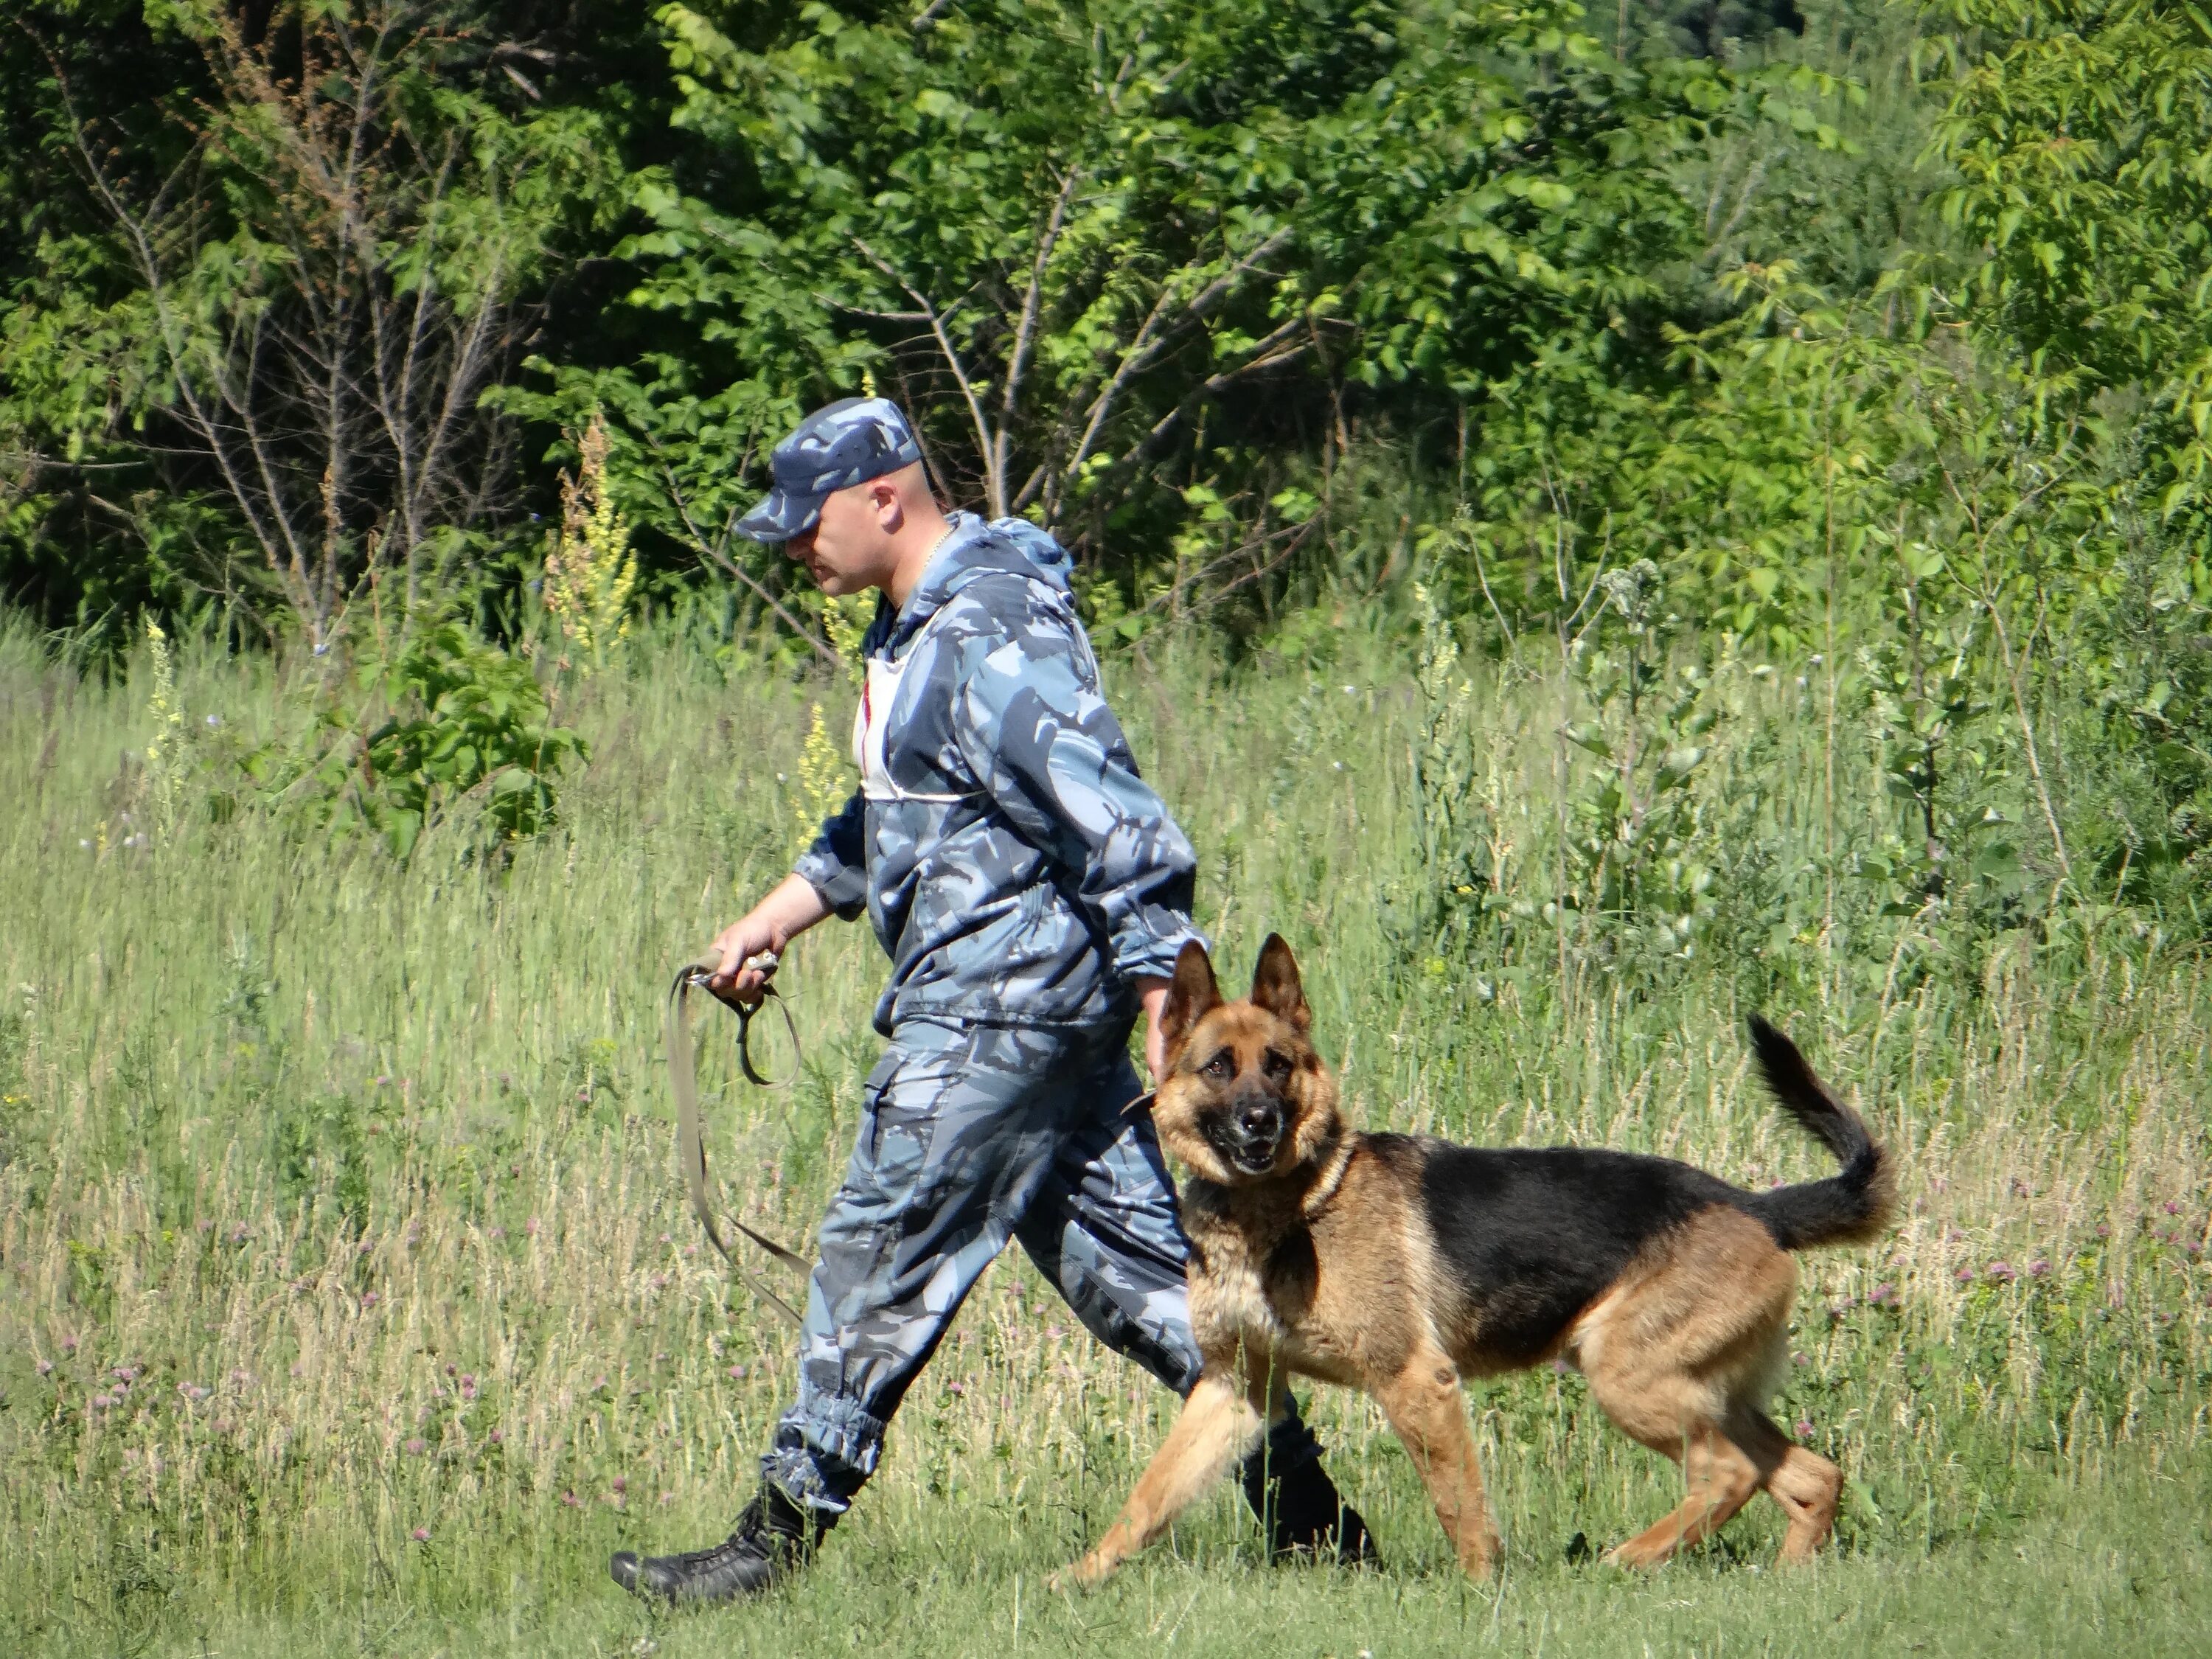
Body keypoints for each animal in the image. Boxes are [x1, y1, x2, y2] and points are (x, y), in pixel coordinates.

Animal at [1062, 942, 1893, 1593]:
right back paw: (1784, 1579)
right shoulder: (1233, 1390)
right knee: (1810, 1477)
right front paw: (1081, 1577)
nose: (1261, 1122)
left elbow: (1457, 1502)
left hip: (1625, 1374)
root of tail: (1757, 1208)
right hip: (1701, 1392)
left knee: (1728, 1475)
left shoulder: (1415, 1381)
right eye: (1218, 1068)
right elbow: (1148, 1497)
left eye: (1278, 1066)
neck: (1285, 1206)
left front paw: (1478, 1593)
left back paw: (1629, 1559)